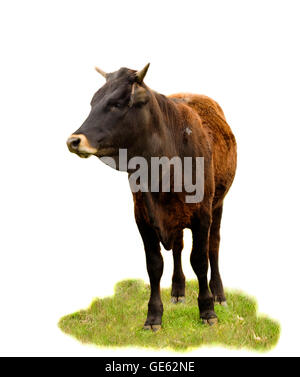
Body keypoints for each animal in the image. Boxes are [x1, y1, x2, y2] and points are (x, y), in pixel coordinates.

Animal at [66, 64, 237, 328]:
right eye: (93, 102)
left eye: (117, 103)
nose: (74, 140)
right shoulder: (143, 217)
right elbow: (154, 265)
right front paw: (154, 315)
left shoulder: (202, 213)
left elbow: (200, 259)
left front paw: (207, 310)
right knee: (177, 247)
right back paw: (178, 290)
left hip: (218, 204)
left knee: (214, 246)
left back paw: (219, 294)